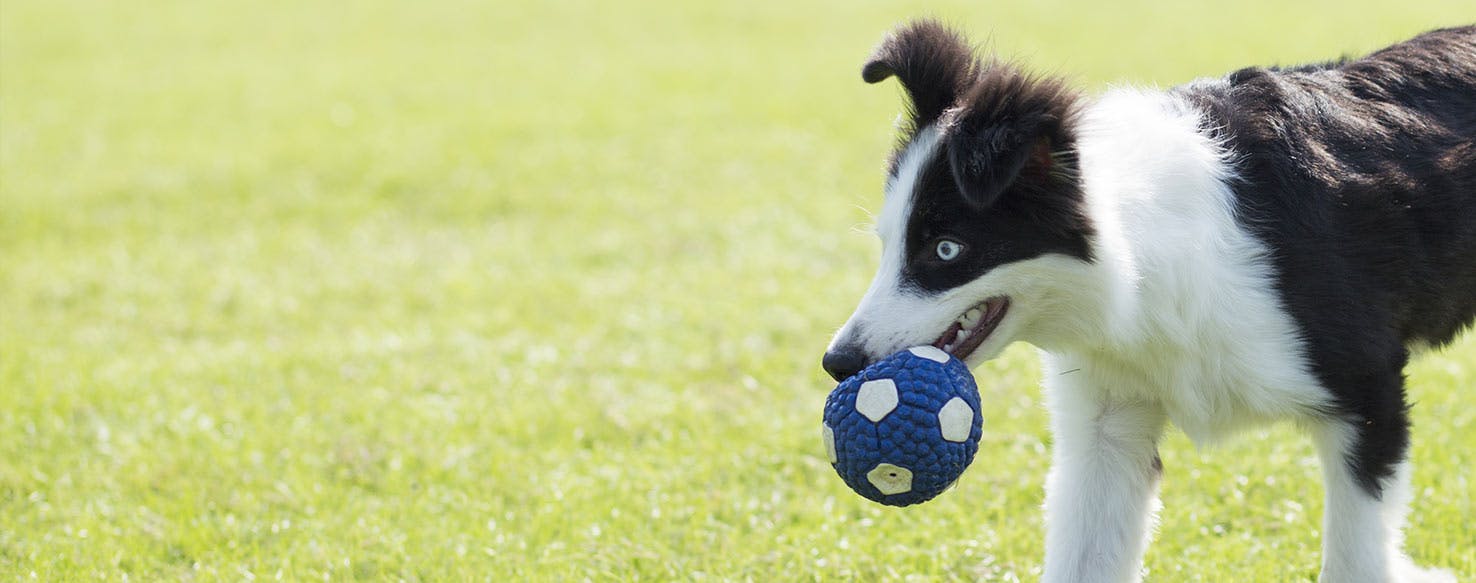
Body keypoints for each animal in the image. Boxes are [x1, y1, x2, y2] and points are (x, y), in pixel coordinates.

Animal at [826, 20, 1470, 581]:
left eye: (946, 249)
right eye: (887, 242)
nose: (838, 363)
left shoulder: (1367, 394)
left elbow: (1355, 558)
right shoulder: (1107, 428)